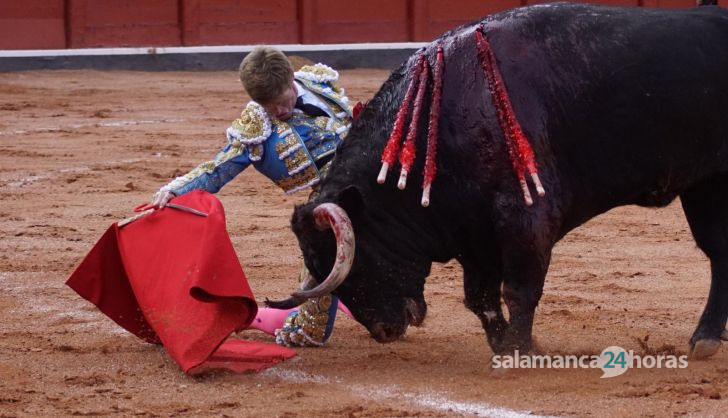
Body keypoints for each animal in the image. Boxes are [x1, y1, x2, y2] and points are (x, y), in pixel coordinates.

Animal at [268, 1, 728, 358]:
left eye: (352, 261)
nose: (384, 332)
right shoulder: (472, 232)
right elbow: (480, 298)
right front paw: (504, 345)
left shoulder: (526, 219)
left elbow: (519, 290)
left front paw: (522, 351)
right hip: (705, 186)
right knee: (719, 252)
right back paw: (706, 339)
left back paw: (704, 339)